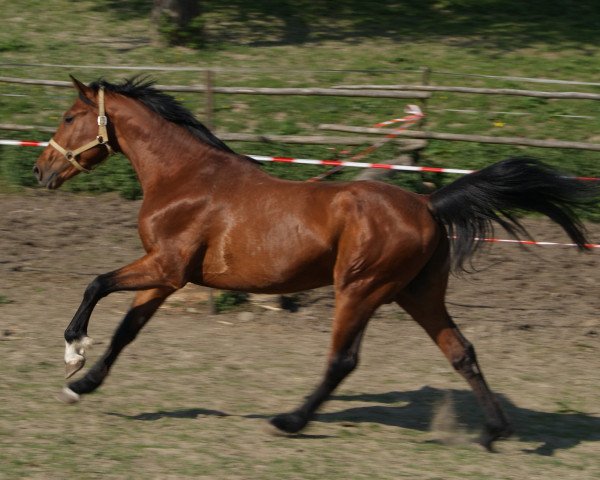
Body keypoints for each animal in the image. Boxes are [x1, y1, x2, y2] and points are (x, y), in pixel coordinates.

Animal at [34, 76, 596, 450]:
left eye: (68, 117)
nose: (40, 170)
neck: (186, 177)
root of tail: (429, 204)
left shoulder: (165, 267)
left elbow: (96, 284)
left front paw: (73, 352)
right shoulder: (168, 276)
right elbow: (127, 329)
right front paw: (81, 386)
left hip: (361, 289)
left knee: (343, 360)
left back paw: (290, 421)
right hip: (417, 293)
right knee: (461, 351)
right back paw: (495, 430)